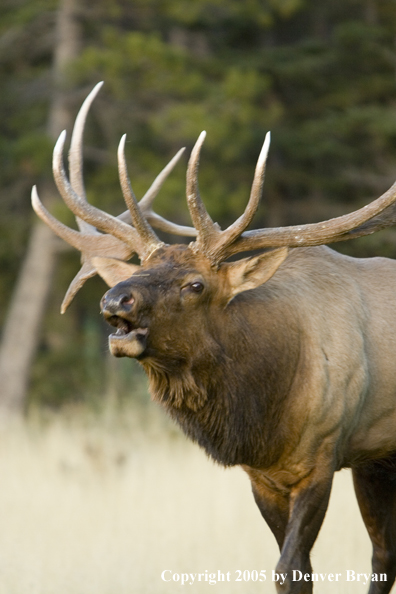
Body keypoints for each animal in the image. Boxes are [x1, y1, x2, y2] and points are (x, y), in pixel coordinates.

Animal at [32, 84, 396, 592]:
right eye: (142, 268)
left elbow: (290, 568)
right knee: (384, 554)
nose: (116, 298)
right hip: (376, 459)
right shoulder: (263, 475)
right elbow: (296, 567)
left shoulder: (322, 455)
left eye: (196, 285)